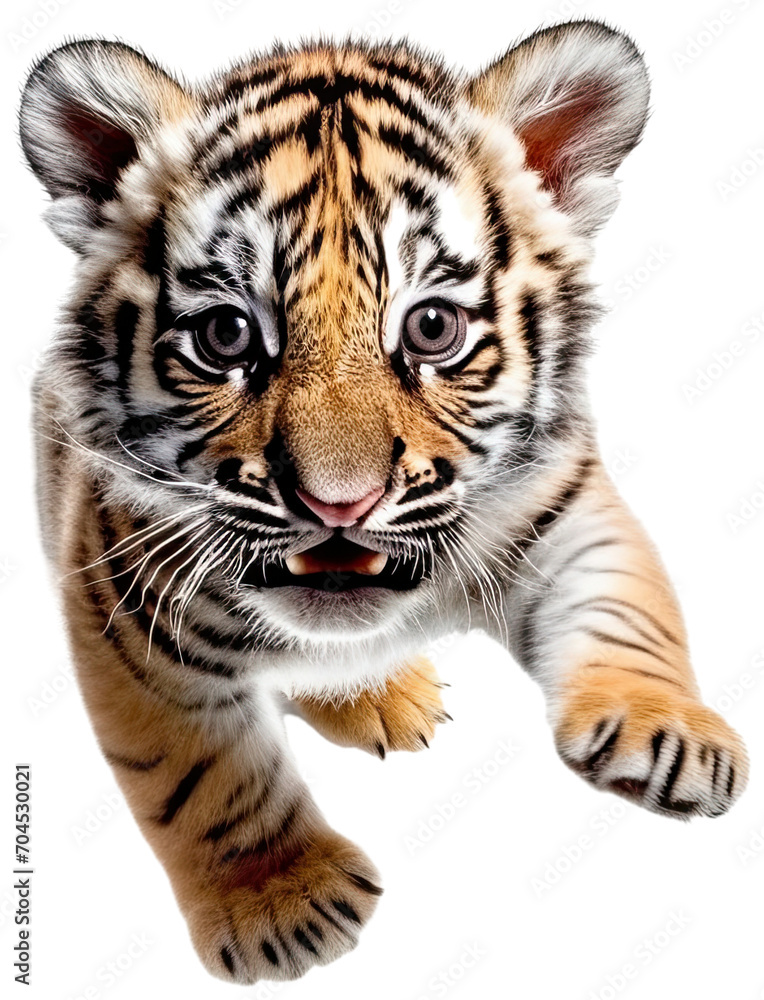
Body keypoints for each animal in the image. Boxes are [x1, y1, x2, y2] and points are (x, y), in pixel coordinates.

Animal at [19, 20, 748, 985]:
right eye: (226, 336)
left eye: (432, 327)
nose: (340, 505)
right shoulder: (126, 601)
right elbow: (198, 769)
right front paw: (281, 900)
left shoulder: (565, 509)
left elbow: (631, 607)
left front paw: (670, 735)